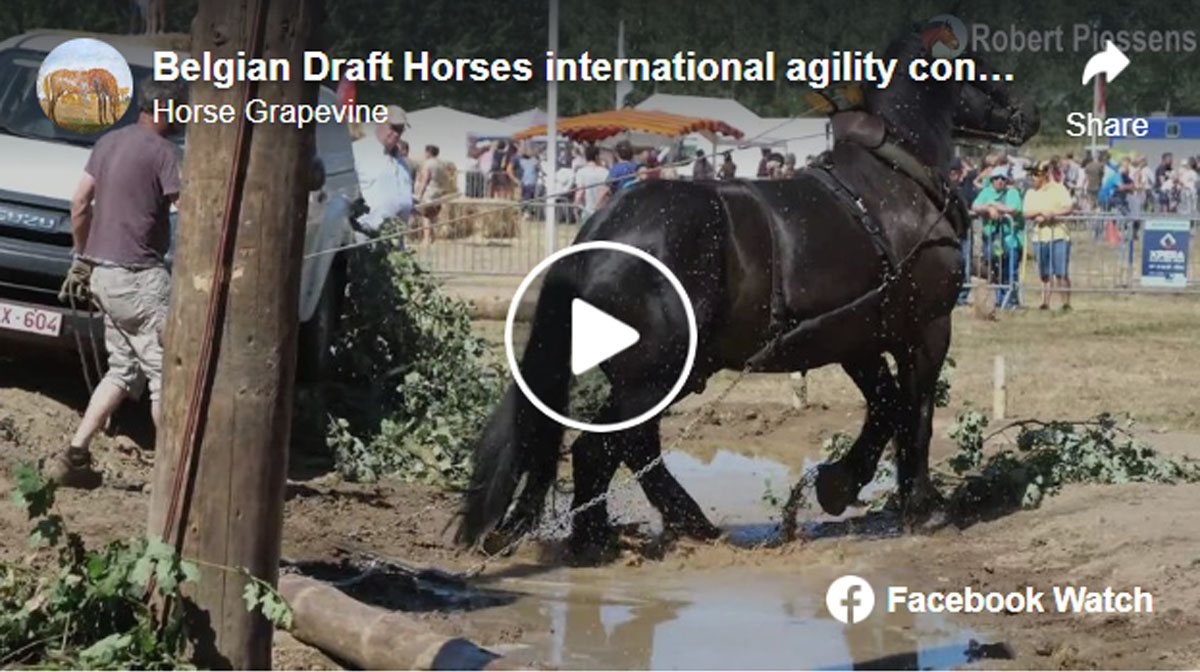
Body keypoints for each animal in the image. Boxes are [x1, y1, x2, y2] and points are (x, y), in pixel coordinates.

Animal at [458, 28, 1041, 552]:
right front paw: (923, 505)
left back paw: (658, 527)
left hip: (665, 373)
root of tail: (601, 226)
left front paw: (839, 482)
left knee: (627, 447)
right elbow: (915, 413)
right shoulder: (927, 328)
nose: (1028, 114)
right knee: (606, 447)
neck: (897, 183)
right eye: (980, 67)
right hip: (657, 372)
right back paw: (612, 536)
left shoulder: (856, 337)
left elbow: (885, 407)